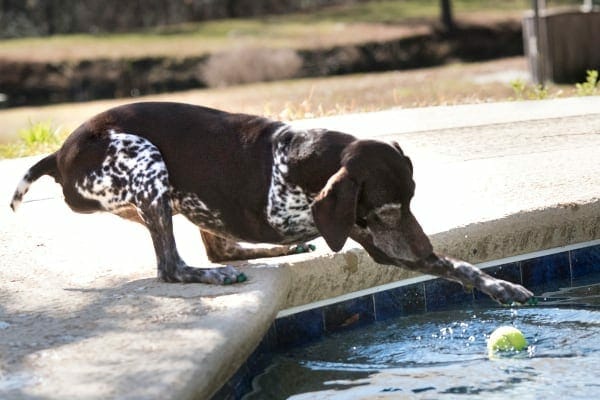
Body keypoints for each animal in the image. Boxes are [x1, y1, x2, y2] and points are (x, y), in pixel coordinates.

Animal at [9, 102, 536, 304]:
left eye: (412, 201)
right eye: (390, 208)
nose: (422, 249)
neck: (306, 162)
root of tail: (60, 154)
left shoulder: (381, 241)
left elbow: (458, 265)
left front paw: (500, 285)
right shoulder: (374, 235)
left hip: (182, 197)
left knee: (219, 247)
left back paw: (278, 251)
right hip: (145, 159)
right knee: (174, 266)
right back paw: (212, 275)